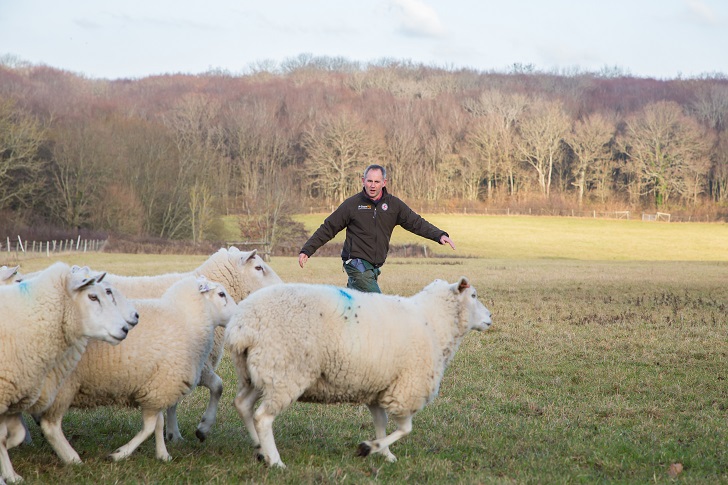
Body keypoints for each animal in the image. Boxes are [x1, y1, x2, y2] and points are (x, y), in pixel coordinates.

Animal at [36, 274, 236, 464]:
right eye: (221, 294)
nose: (238, 313)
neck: (185, 317)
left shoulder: (156, 386)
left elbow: (158, 423)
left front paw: (163, 455)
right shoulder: (162, 385)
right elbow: (149, 427)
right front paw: (120, 454)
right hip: (63, 384)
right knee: (51, 426)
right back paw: (72, 458)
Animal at [104, 248, 282, 440]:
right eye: (258, 267)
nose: (281, 287)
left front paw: (173, 434)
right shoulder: (195, 363)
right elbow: (218, 386)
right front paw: (201, 427)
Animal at [225, 274, 492, 466]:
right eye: (474, 295)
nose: (490, 317)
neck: (435, 322)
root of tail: (242, 325)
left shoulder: (379, 387)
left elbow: (381, 423)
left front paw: (385, 454)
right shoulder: (406, 388)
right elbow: (406, 428)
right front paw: (369, 448)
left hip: (257, 372)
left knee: (243, 405)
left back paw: (260, 450)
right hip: (284, 371)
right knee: (262, 418)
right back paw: (275, 461)